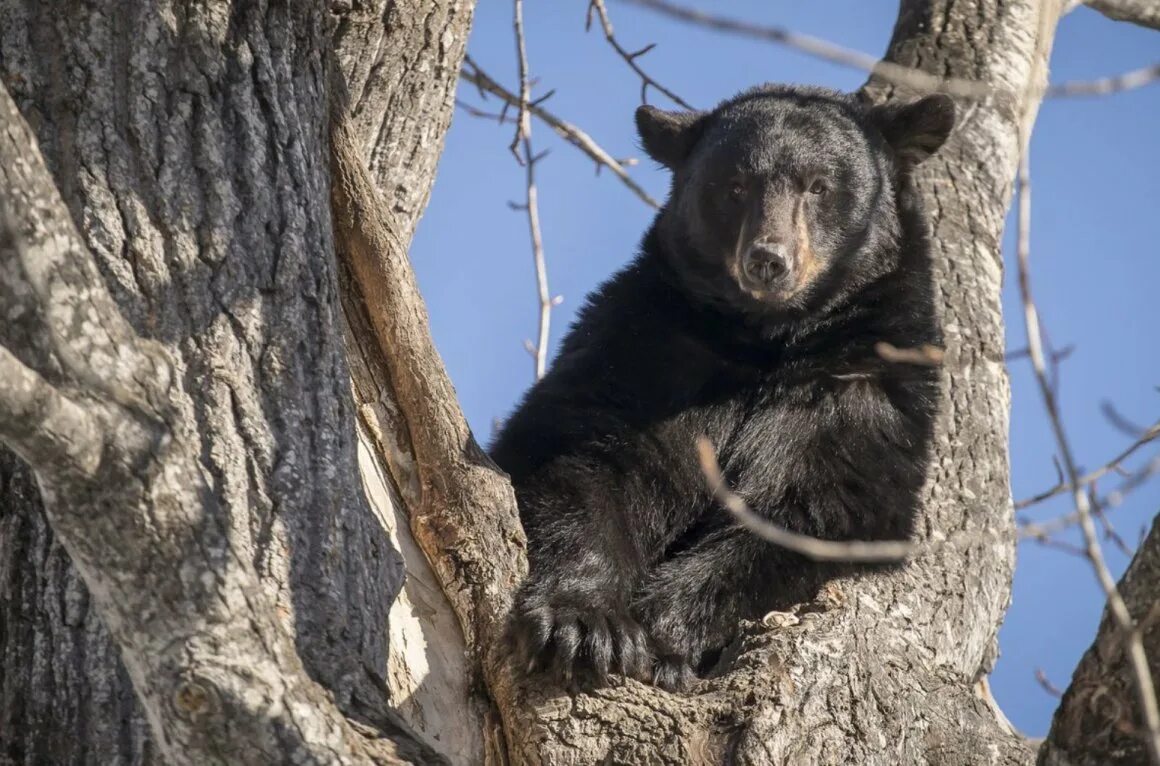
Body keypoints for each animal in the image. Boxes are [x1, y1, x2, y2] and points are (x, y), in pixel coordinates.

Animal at [489, 82, 951, 687]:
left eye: (819, 186)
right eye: (734, 186)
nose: (769, 260)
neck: (767, 339)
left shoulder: (865, 382)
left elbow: (822, 505)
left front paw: (663, 634)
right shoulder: (646, 348)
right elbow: (582, 457)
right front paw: (587, 625)